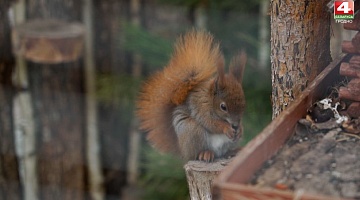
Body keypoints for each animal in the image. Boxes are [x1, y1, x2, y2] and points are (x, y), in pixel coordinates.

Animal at [136, 30, 246, 162]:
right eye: (223, 107)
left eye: (244, 104)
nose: (235, 125)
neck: (210, 98)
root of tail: (182, 151)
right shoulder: (200, 106)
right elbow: (210, 122)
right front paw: (226, 128)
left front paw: (240, 129)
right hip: (192, 130)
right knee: (195, 154)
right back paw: (205, 153)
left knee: (224, 152)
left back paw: (234, 150)